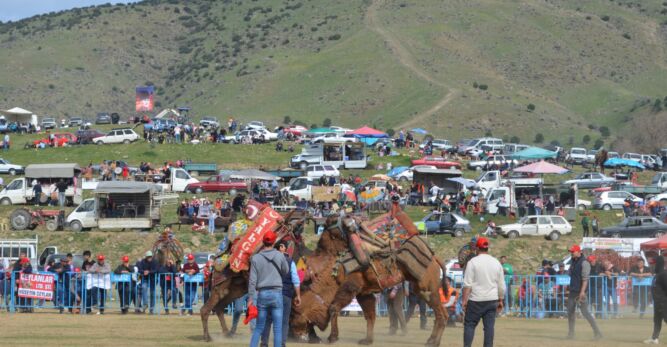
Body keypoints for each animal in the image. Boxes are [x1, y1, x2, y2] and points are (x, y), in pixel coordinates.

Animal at [294, 216, 452, 346]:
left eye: (295, 313)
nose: (295, 332)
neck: (335, 270)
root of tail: (435, 258)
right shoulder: (364, 293)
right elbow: (370, 315)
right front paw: (367, 340)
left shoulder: (350, 287)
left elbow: (333, 308)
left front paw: (333, 337)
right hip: (420, 287)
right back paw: (431, 339)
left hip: (428, 287)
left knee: (441, 313)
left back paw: (434, 342)